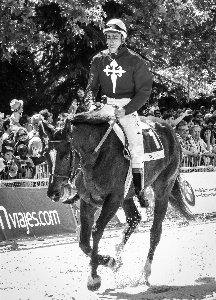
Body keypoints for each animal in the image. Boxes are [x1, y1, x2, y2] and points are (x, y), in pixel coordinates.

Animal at [39, 112, 194, 290]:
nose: (53, 192)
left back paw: (146, 271)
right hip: (128, 196)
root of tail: (170, 129)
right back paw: (118, 253)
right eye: (45, 155)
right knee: (134, 218)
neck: (96, 156)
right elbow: (83, 242)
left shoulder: (113, 200)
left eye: (65, 157)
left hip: (163, 189)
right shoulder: (88, 201)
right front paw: (111, 261)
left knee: (155, 231)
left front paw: (94, 277)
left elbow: (96, 231)